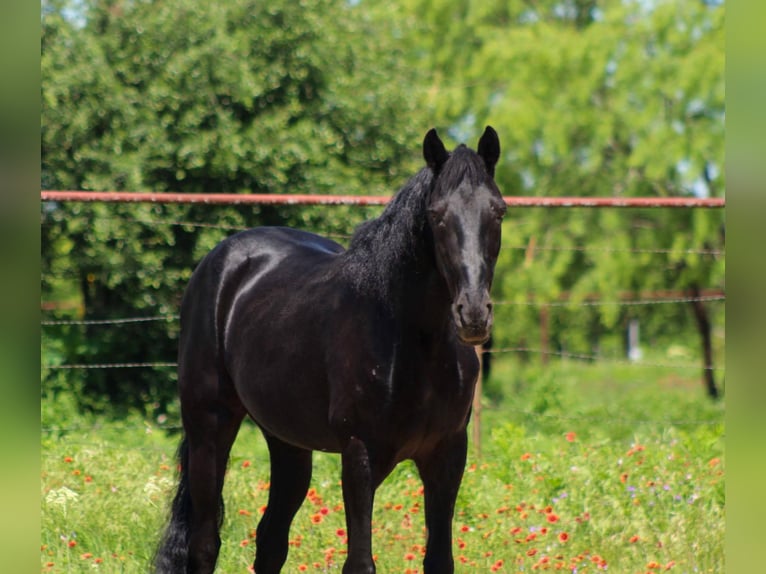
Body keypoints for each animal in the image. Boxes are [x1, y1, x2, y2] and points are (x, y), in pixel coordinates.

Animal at [154, 126, 506, 574]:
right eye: (436, 214)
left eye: (498, 211)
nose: (473, 313)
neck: (412, 342)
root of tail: (221, 261)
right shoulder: (359, 456)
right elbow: (360, 562)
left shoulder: (447, 456)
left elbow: (440, 559)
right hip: (209, 430)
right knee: (203, 544)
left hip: (287, 442)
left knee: (270, 541)